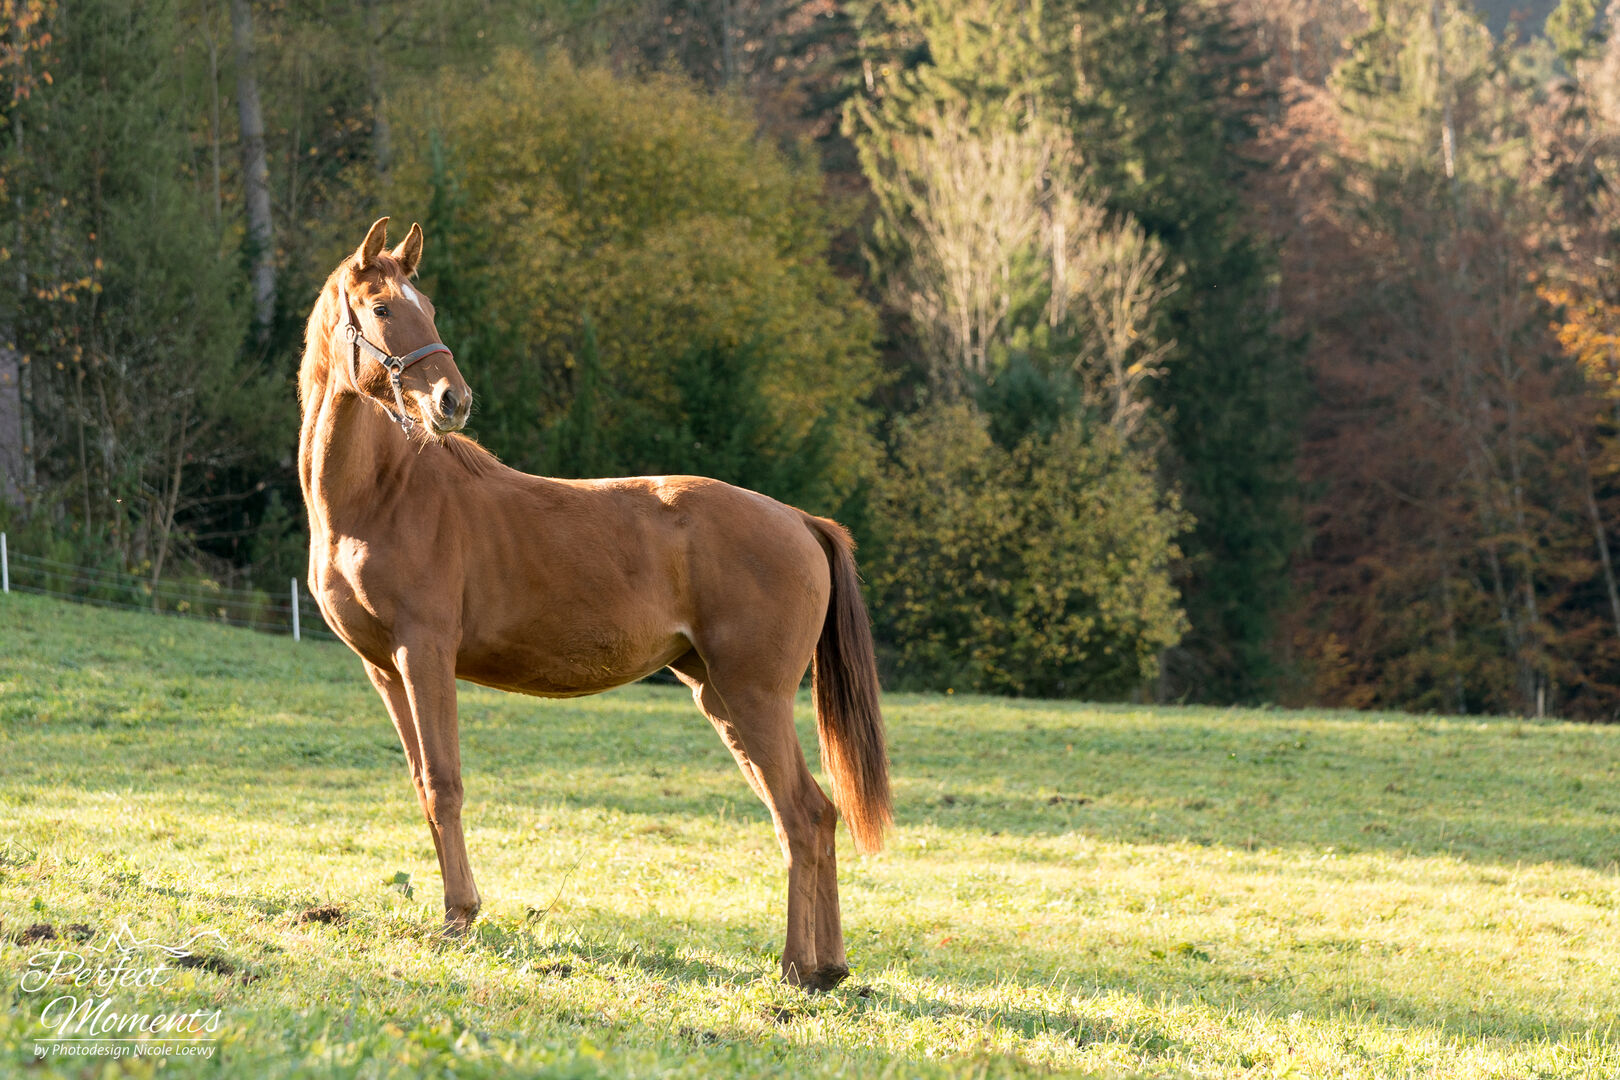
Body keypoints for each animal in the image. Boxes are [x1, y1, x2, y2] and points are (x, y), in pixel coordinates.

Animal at [296, 217, 891, 990]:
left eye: (428, 307)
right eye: (383, 308)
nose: (453, 401)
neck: (383, 498)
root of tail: (798, 520)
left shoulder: (424, 654)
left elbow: (447, 784)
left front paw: (460, 919)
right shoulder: (384, 668)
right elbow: (424, 785)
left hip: (754, 695)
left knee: (801, 815)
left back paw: (797, 968)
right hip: (720, 696)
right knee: (813, 815)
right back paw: (827, 968)